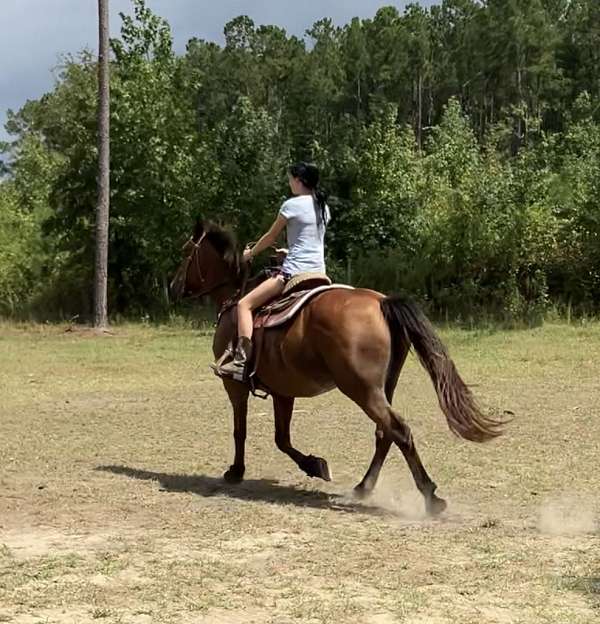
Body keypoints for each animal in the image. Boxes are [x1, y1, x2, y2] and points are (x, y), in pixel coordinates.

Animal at [171, 221, 504, 516]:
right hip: (383, 387)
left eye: (187, 251)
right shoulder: (283, 392)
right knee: (385, 433)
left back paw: (430, 496)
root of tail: (382, 302)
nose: (174, 286)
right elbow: (282, 438)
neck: (235, 301)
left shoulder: (234, 386)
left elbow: (241, 431)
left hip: (361, 389)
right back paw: (363, 487)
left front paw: (236, 471)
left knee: (398, 429)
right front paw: (315, 465)